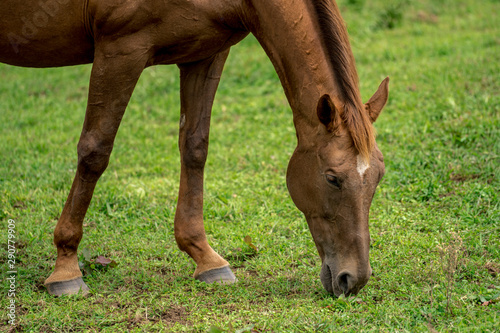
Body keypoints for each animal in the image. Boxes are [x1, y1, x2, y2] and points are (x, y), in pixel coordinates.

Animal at [0, 0, 388, 296]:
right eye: (332, 178)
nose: (353, 279)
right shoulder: (120, 50)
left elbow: (195, 147)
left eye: (378, 177)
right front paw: (65, 266)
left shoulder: (206, 54)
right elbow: (95, 151)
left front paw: (204, 256)